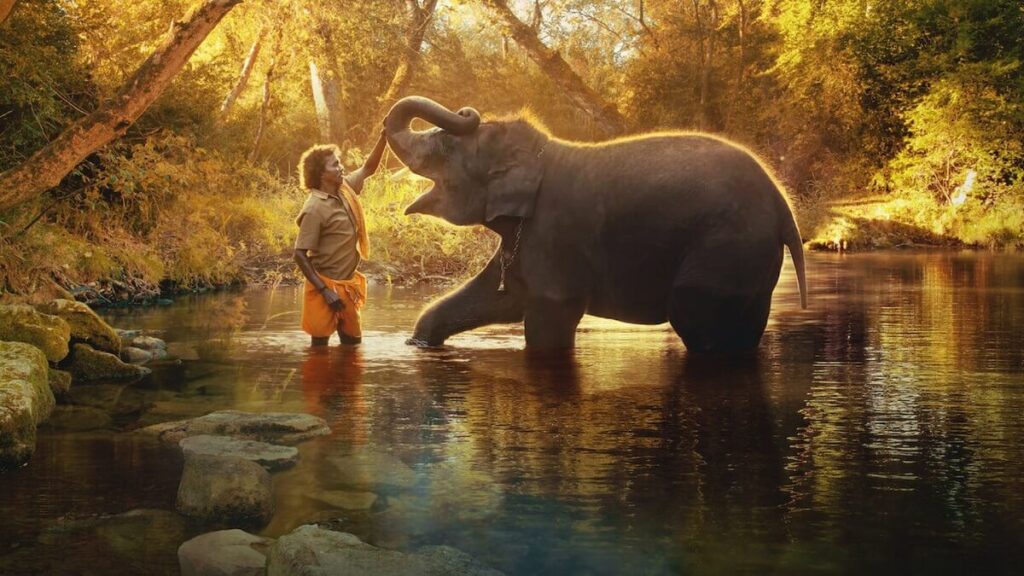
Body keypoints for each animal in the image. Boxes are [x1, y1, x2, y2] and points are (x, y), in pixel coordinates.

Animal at [384, 96, 807, 352]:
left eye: (445, 148)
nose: (467, 111)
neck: (541, 153)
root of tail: (784, 207)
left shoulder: (554, 233)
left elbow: (548, 319)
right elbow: (498, 297)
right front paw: (420, 343)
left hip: (727, 247)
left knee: (695, 317)